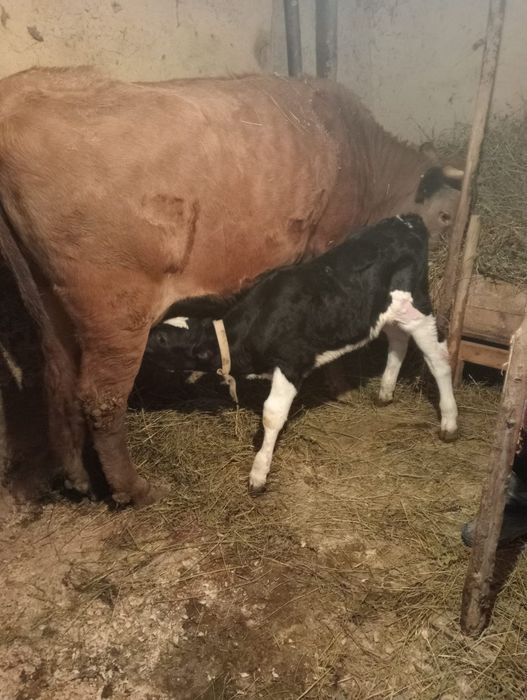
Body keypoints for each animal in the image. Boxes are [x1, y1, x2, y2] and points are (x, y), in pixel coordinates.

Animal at [145, 214, 458, 493]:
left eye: (161, 338)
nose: (143, 335)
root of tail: (408, 220)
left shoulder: (291, 362)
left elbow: (271, 415)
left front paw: (258, 474)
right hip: (389, 312)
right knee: (398, 341)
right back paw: (385, 392)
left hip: (418, 306)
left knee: (439, 359)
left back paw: (449, 422)